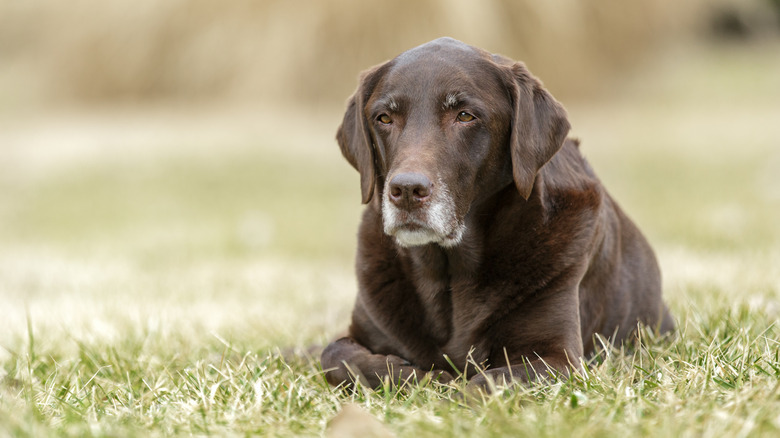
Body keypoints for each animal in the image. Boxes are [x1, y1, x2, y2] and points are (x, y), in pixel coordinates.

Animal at [320, 37, 672, 390]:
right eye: (384, 118)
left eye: (465, 116)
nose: (406, 190)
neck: (448, 271)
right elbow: (335, 356)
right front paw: (421, 375)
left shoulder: (558, 358)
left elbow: (480, 384)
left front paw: (443, 386)